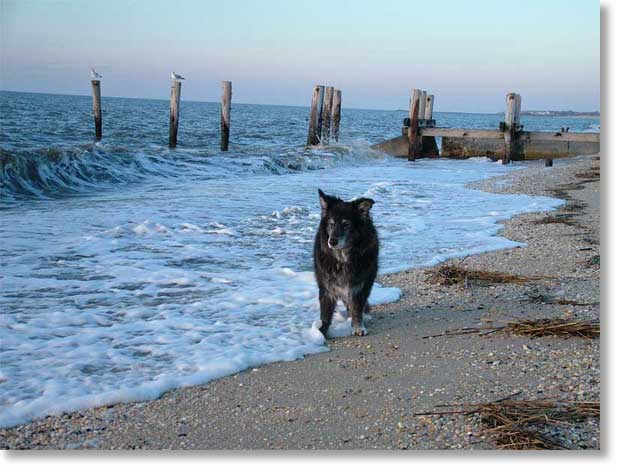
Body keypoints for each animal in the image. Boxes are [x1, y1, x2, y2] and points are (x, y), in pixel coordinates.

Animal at [312, 189, 380, 336]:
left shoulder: (360, 285)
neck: (342, 259)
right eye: (331, 224)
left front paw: (358, 326)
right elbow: (325, 314)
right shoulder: (327, 287)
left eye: (346, 224)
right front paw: (321, 332)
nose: (332, 241)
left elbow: (357, 308)